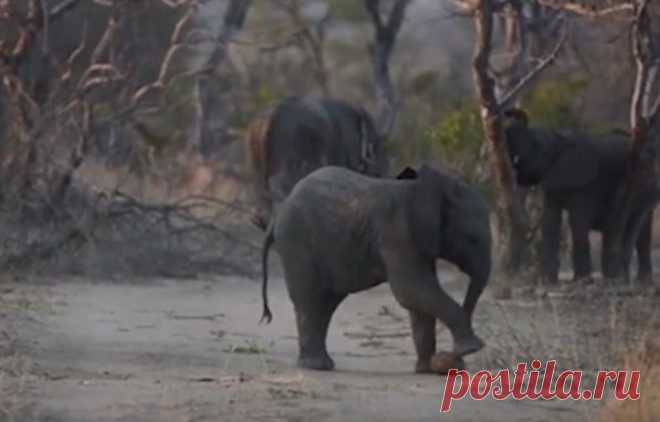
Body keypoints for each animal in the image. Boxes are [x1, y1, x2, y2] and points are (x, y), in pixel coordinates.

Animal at [260, 165, 492, 372]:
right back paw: (316, 366)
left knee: (325, 304)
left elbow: (419, 298)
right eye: (472, 239)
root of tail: (277, 213)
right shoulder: (397, 233)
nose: (457, 356)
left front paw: (426, 369)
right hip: (296, 243)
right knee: (310, 299)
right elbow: (411, 290)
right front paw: (471, 349)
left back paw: (322, 364)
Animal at [502, 109, 652, 284]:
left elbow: (577, 221)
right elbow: (550, 221)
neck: (558, 139)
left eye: (535, 144)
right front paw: (549, 281)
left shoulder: (584, 184)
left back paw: (638, 281)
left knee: (641, 231)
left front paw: (582, 279)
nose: (507, 112)